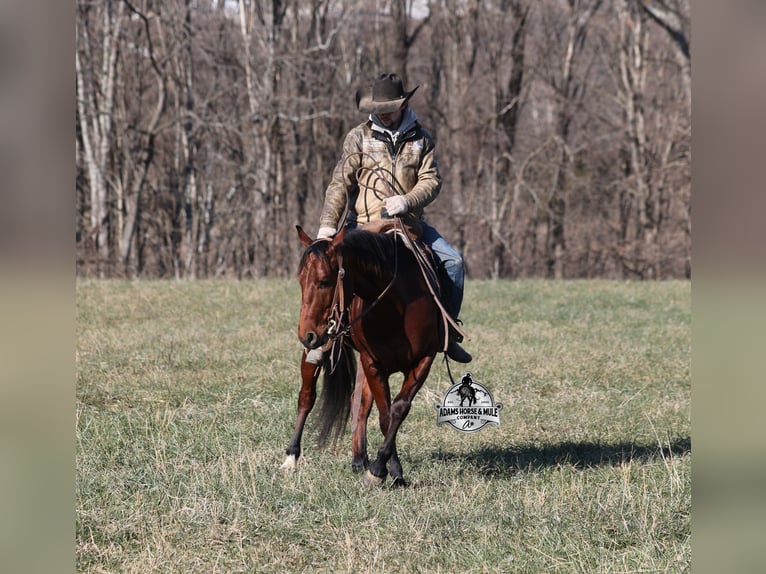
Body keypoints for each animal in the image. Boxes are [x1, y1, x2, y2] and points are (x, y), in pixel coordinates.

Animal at [281, 223, 443, 487]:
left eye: (325, 281)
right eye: (300, 281)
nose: (306, 335)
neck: (396, 308)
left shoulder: (423, 361)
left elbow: (397, 410)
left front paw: (383, 469)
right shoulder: (372, 362)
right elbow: (385, 416)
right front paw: (383, 470)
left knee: (360, 402)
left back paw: (359, 459)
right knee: (306, 398)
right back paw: (291, 457)